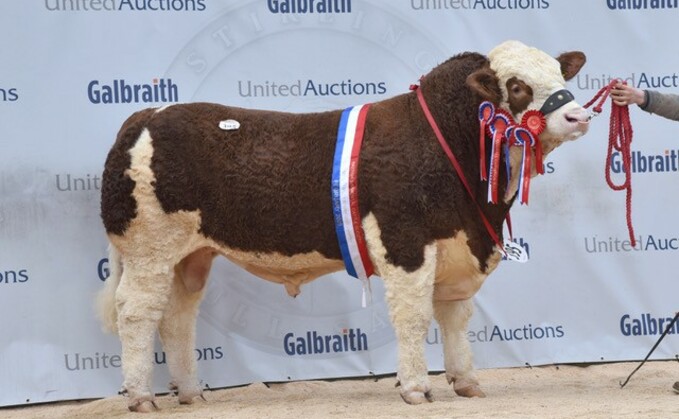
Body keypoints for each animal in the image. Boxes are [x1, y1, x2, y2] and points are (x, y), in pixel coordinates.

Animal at [97, 41, 588, 412]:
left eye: (561, 78)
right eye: (518, 86)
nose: (579, 116)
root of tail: (146, 115)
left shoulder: (458, 246)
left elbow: (455, 318)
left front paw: (467, 382)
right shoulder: (405, 242)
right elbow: (414, 317)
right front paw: (416, 388)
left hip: (190, 256)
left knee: (178, 317)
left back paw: (191, 393)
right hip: (149, 249)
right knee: (137, 313)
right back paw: (141, 397)